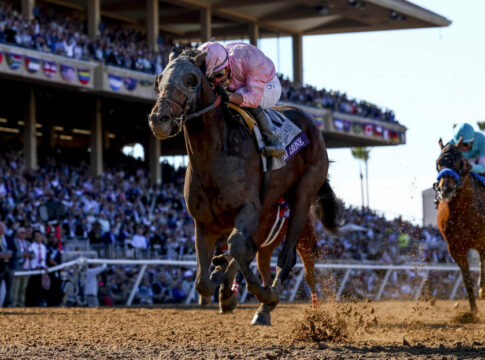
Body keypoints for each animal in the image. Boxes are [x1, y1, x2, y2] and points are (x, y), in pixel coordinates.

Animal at [148, 49, 340, 324]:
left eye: (191, 80)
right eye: (159, 79)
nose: (159, 119)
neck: (213, 157)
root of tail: (311, 123)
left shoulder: (248, 208)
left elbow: (237, 245)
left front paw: (258, 292)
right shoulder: (203, 223)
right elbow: (203, 282)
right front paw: (222, 283)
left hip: (303, 197)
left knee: (288, 256)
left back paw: (270, 301)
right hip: (268, 211)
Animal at [434, 138, 484, 312]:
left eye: (460, 162)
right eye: (438, 163)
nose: (445, 189)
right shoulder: (455, 248)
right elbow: (467, 280)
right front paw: (473, 312)